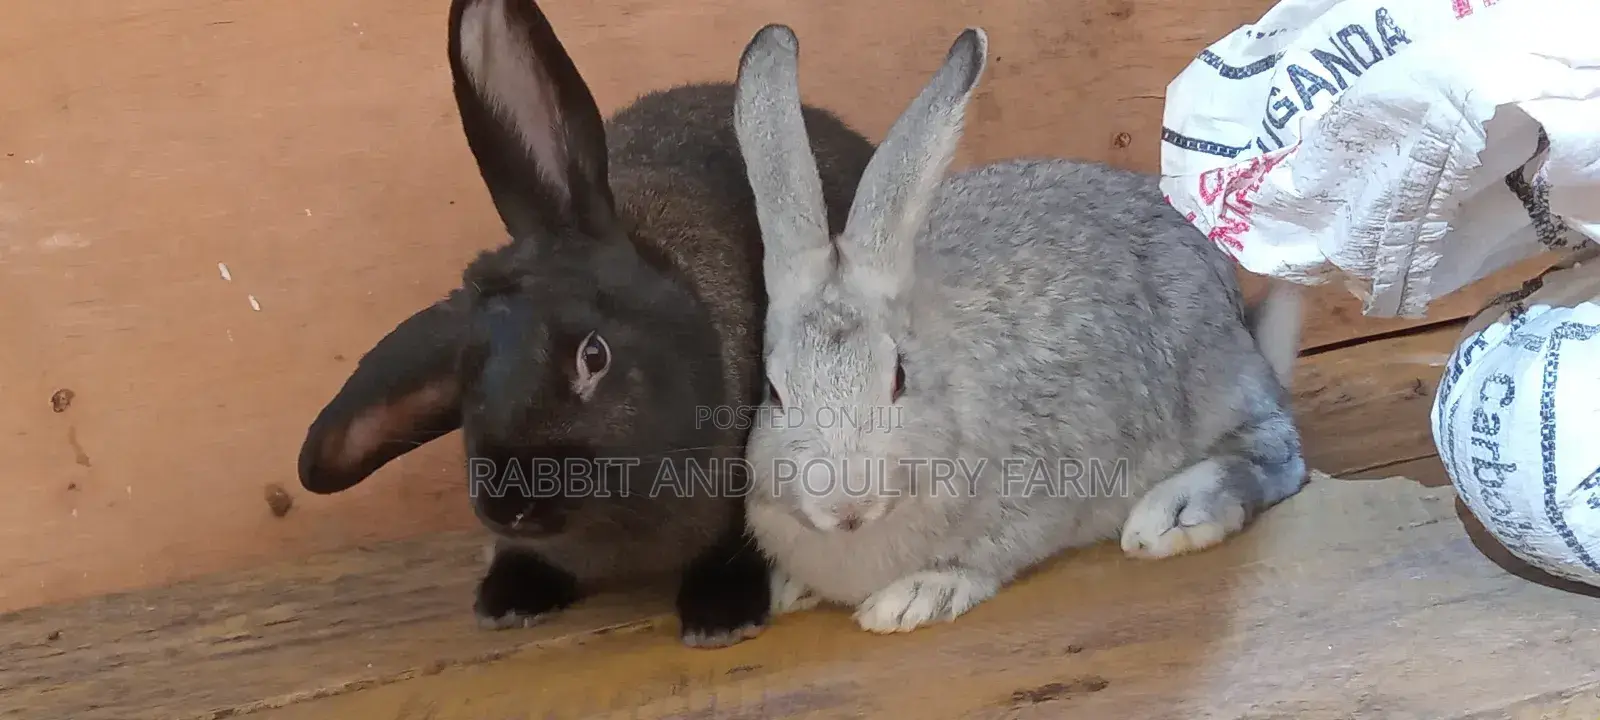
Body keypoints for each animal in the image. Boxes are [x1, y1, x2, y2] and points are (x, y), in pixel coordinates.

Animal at [731, 25, 1309, 634]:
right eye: (774, 391)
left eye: (898, 379)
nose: (846, 509)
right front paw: (788, 589)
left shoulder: (1041, 495)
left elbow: (987, 558)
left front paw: (915, 597)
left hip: (1212, 382)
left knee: (1275, 448)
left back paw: (1172, 516)